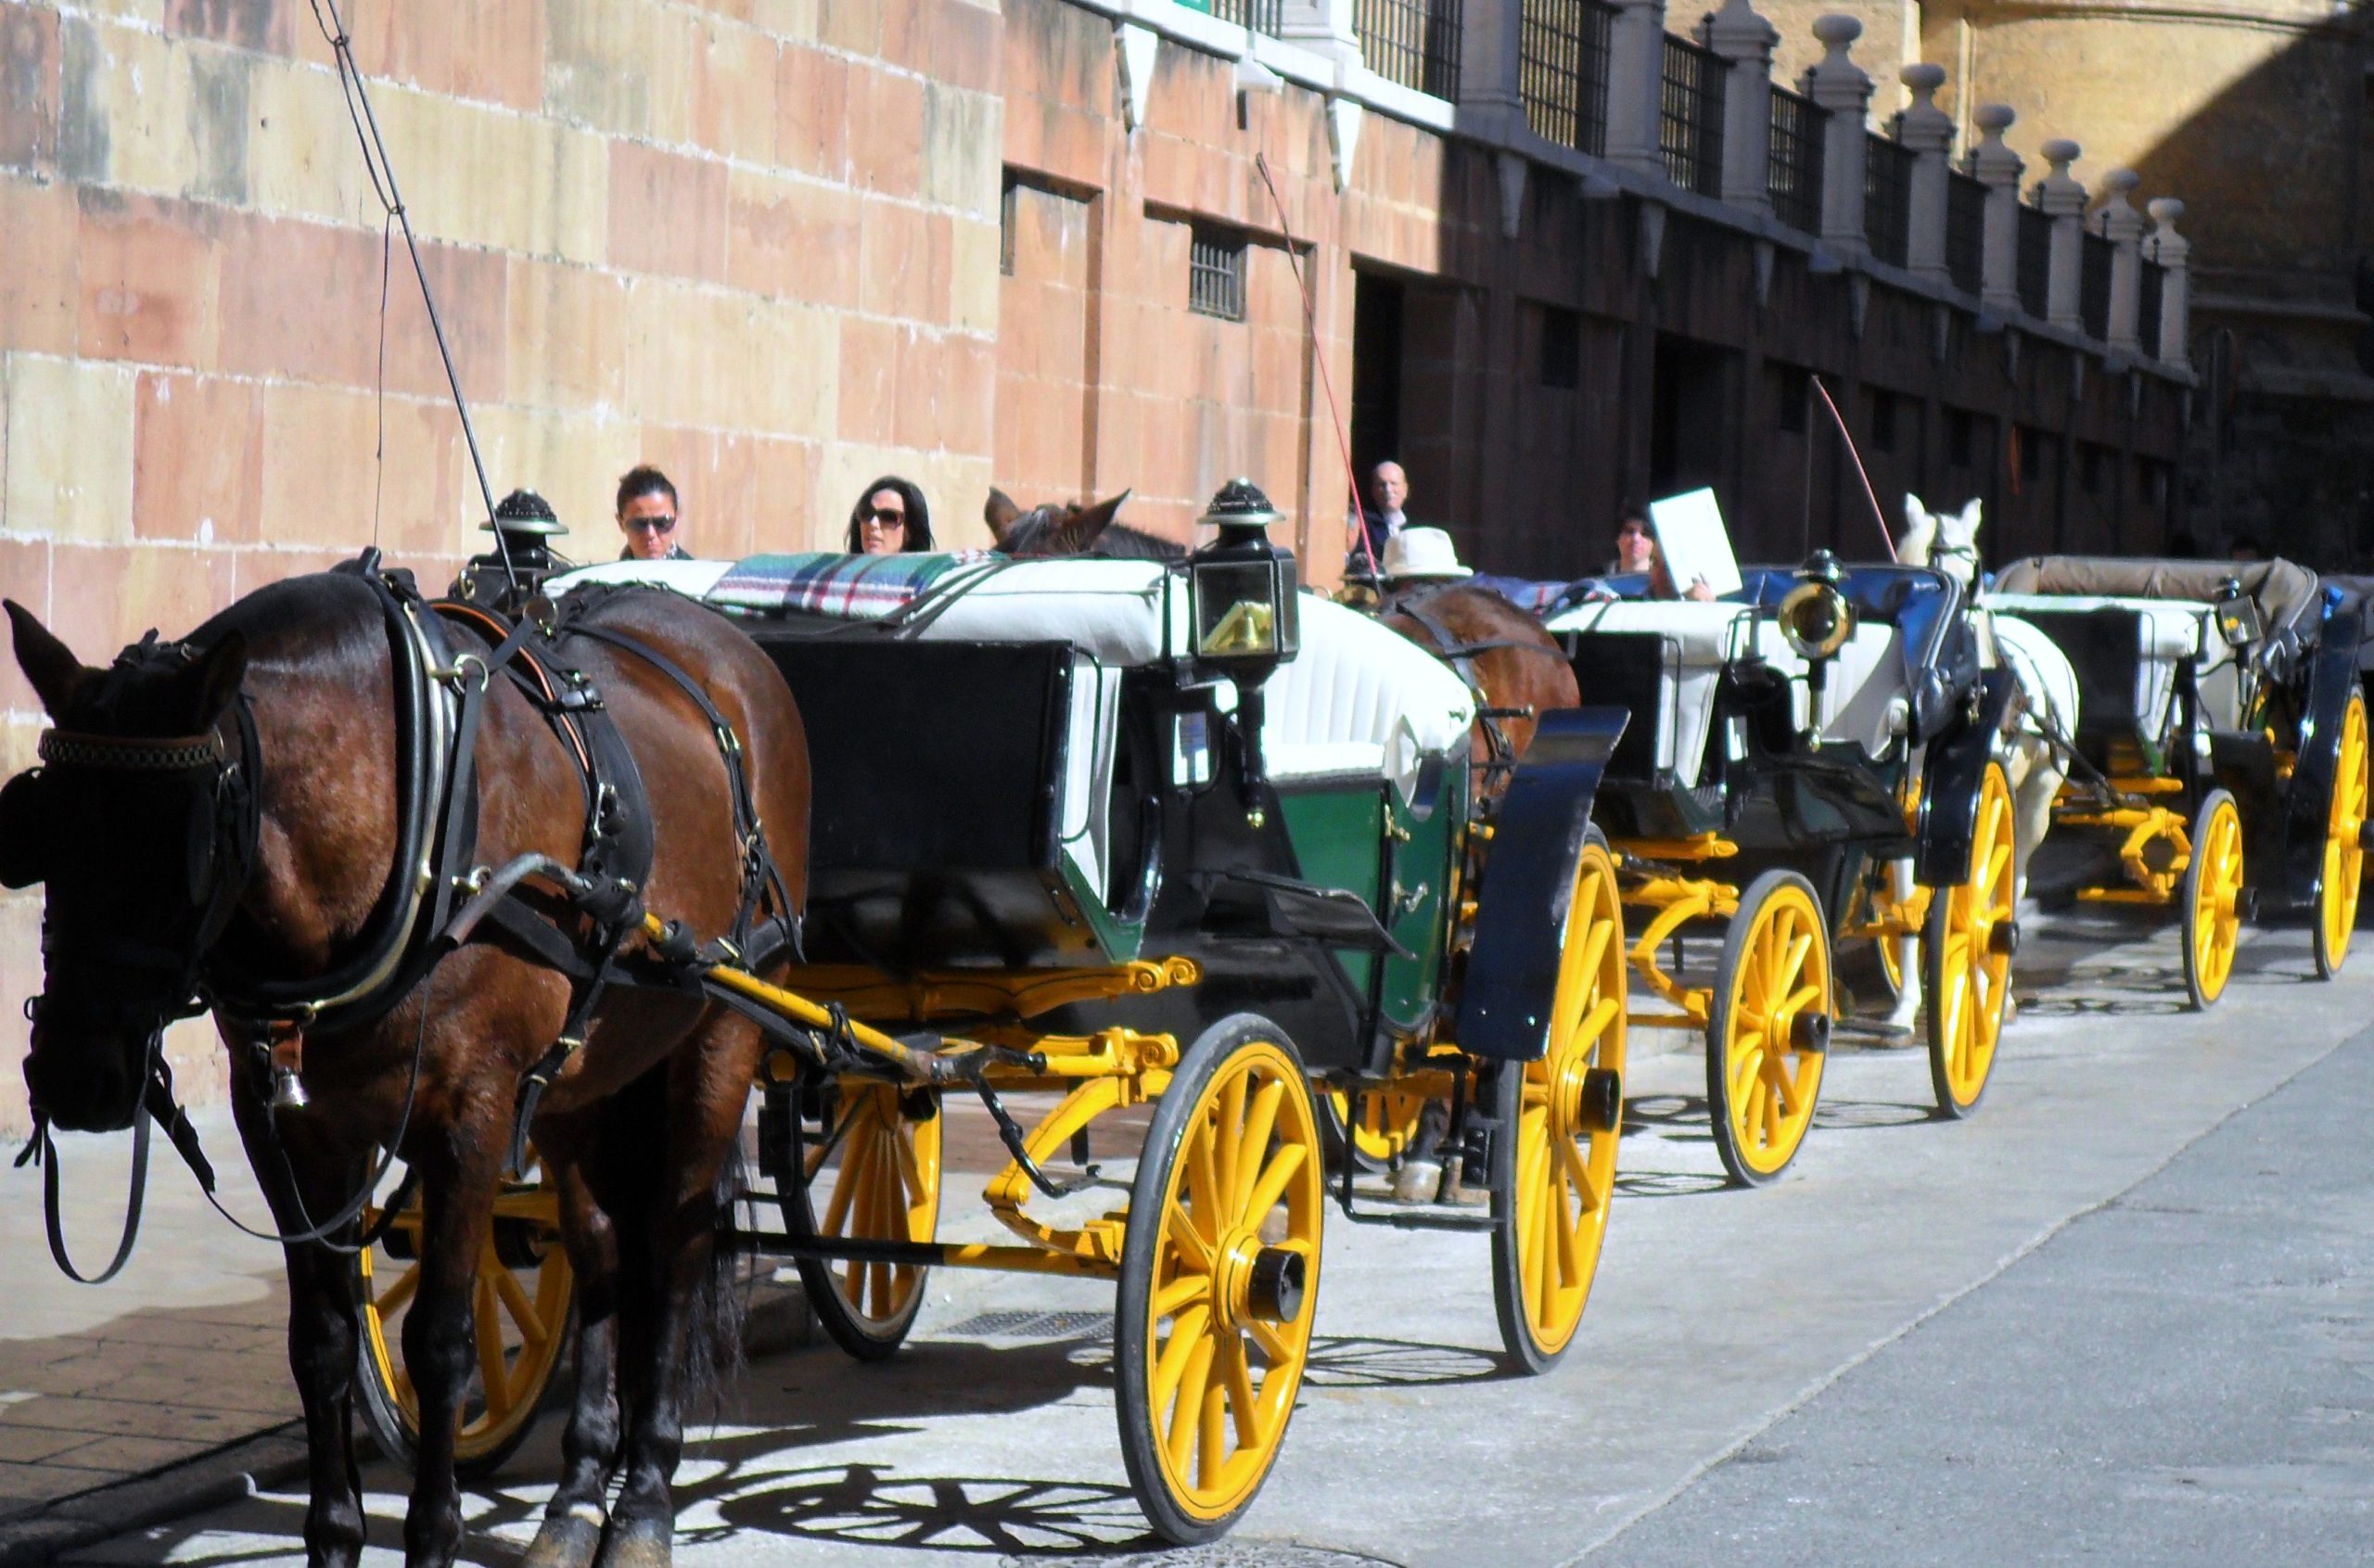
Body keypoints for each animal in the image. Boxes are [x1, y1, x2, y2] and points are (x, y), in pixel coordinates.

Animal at [2, 571, 807, 1565]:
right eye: (41, 826)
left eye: (180, 845)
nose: (74, 1073)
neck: (409, 808)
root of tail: (728, 648)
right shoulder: (290, 1125)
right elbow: (323, 1339)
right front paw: (335, 1536)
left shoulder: (470, 1118)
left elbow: (440, 1343)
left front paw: (432, 1535)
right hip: (588, 1068)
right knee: (601, 1251)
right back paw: (578, 1497)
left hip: (724, 1027)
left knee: (678, 1241)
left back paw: (645, 1505)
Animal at [1880, 495, 2088, 1034]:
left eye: (1971, 573)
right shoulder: (1908, 805)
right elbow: (1906, 900)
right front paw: (1906, 1004)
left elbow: (1977, 890)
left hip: (2036, 798)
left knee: (2013, 880)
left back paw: (2004, 987)